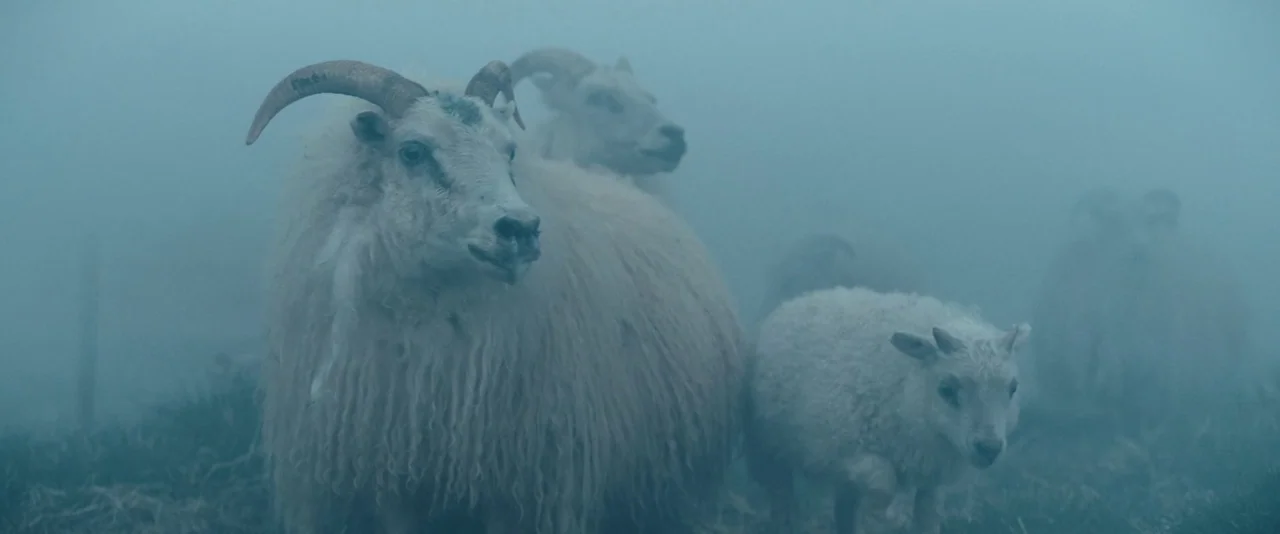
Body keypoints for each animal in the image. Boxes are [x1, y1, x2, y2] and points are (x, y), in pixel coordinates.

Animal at [746, 286, 1029, 534]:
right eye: (946, 389)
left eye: (1013, 388)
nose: (989, 448)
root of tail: (803, 297)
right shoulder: (841, 453)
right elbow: (883, 484)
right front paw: (877, 522)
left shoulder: (933, 473)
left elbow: (928, 512)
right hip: (772, 449)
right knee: (782, 495)